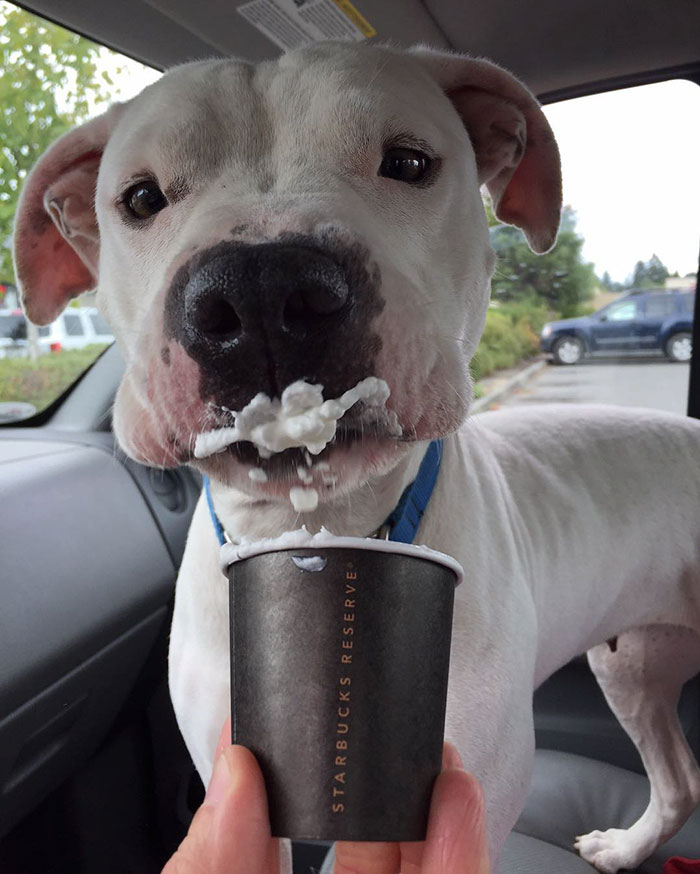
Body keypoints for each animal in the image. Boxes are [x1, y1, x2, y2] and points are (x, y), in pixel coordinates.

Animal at [12, 42, 700, 872]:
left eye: (408, 161)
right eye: (141, 198)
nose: (261, 286)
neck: (318, 522)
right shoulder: (231, 773)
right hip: (632, 662)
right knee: (678, 778)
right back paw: (628, 847)